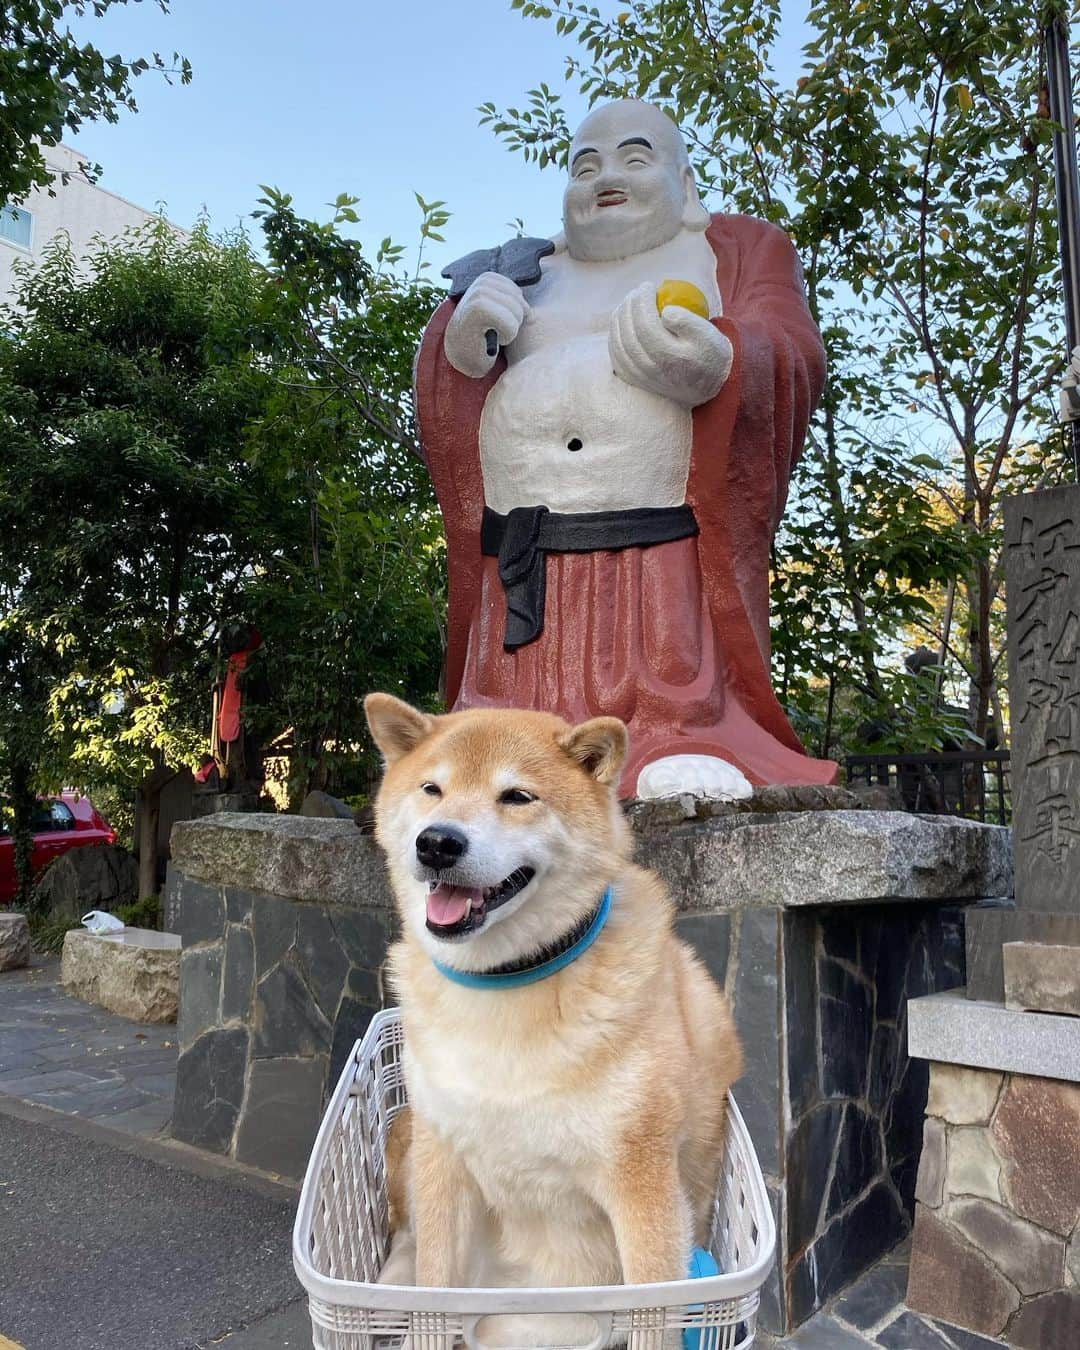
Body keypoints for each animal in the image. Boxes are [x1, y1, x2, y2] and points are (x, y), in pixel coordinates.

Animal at [361, 696, 745, 1339]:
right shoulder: (442, 1159)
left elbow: (654, 1315)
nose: (436, 842)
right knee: (407, 1249)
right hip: (410, 1144)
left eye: (517, 796)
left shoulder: (643, 1182)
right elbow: (433, 1286)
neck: (507, 984)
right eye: (432, 788)